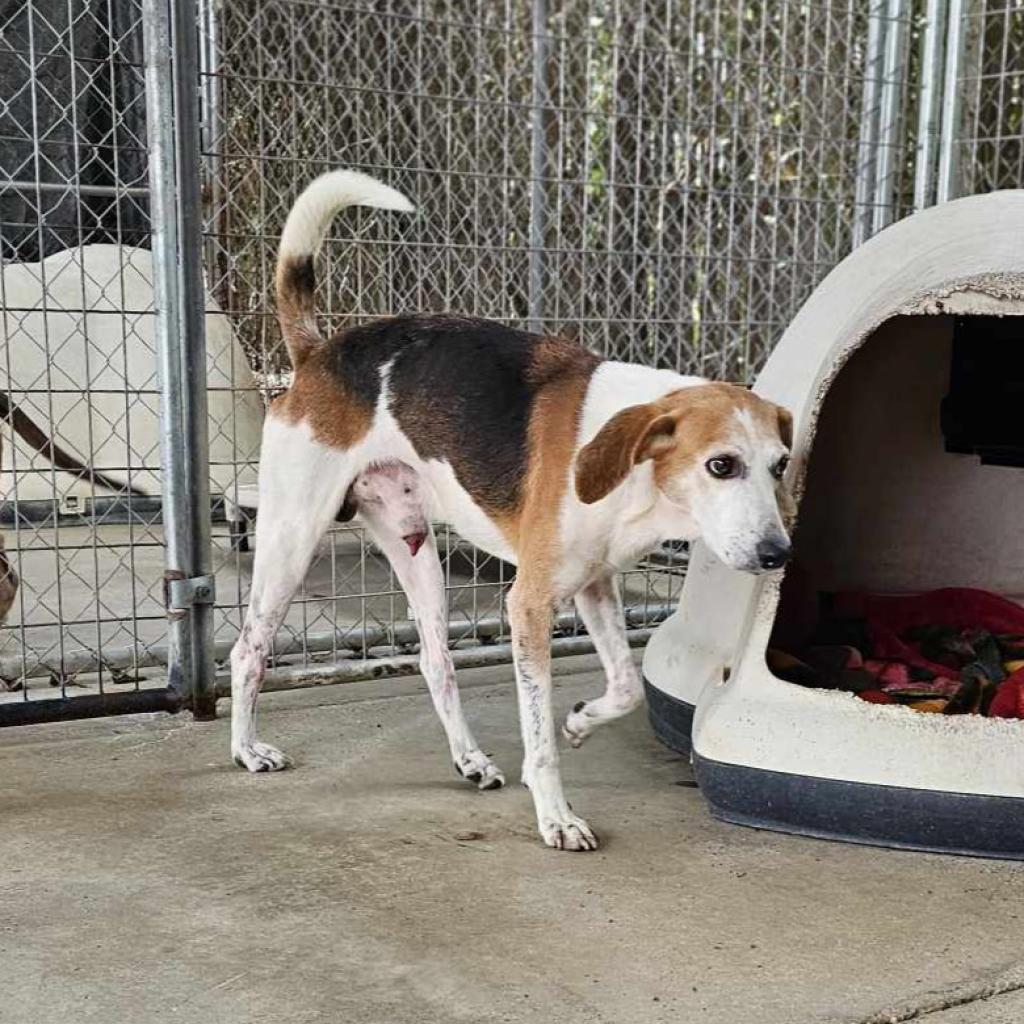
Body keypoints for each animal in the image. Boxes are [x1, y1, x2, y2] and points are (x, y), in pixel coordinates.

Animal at [228, 172, 794, 851]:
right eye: (721, 465)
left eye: (780, 464)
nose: (779, 554)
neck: (633, 474)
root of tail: (319, 354)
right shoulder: (528, 604)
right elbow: (539, 734)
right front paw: (557, 816)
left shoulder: (594, 585)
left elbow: (627, 686)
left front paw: (580, 721)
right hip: (291, 539)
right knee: (247, 651)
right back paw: (247, 750)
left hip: (418, 555)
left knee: (436, 662)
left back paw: (469, 759)